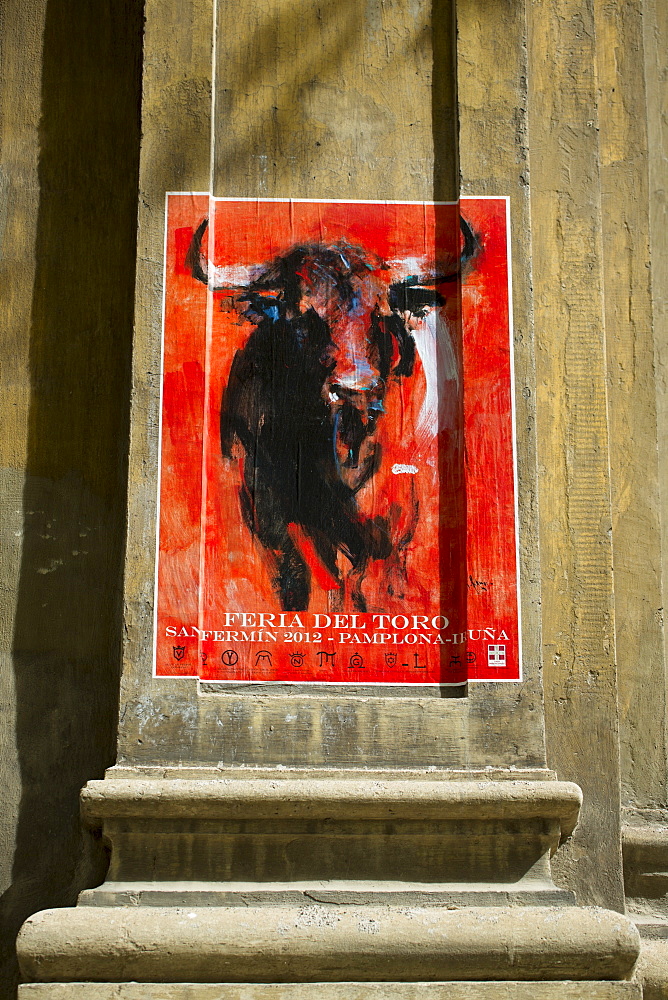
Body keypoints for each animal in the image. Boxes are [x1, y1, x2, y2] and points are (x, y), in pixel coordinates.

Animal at [188, 218, 478, 608]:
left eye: (381, 315)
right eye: (302, 317)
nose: (357, 391)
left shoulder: (394, 515)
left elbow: (370, 575)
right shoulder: (265, 504)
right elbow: (298, 576)